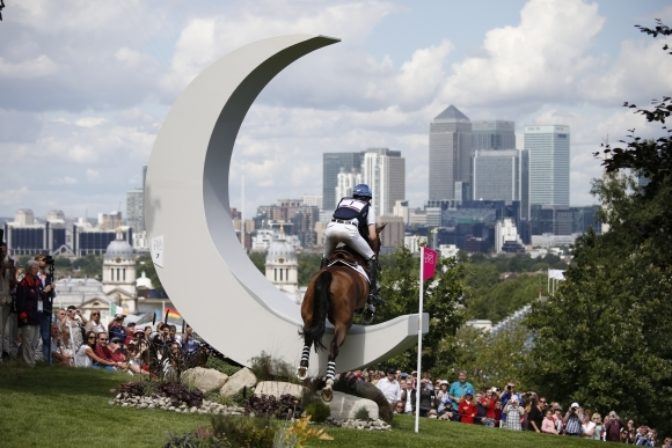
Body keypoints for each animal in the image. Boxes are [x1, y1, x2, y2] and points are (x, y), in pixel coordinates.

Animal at [296, 226, 384, 400]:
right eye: (379, 241)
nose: (377, 254)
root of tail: (328, 275)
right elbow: (371, 299)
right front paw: (370, 311)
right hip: (343, 323)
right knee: (334, 347)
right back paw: (328, 386)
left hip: (308, 313)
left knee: (308, 336)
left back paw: (302, 370)